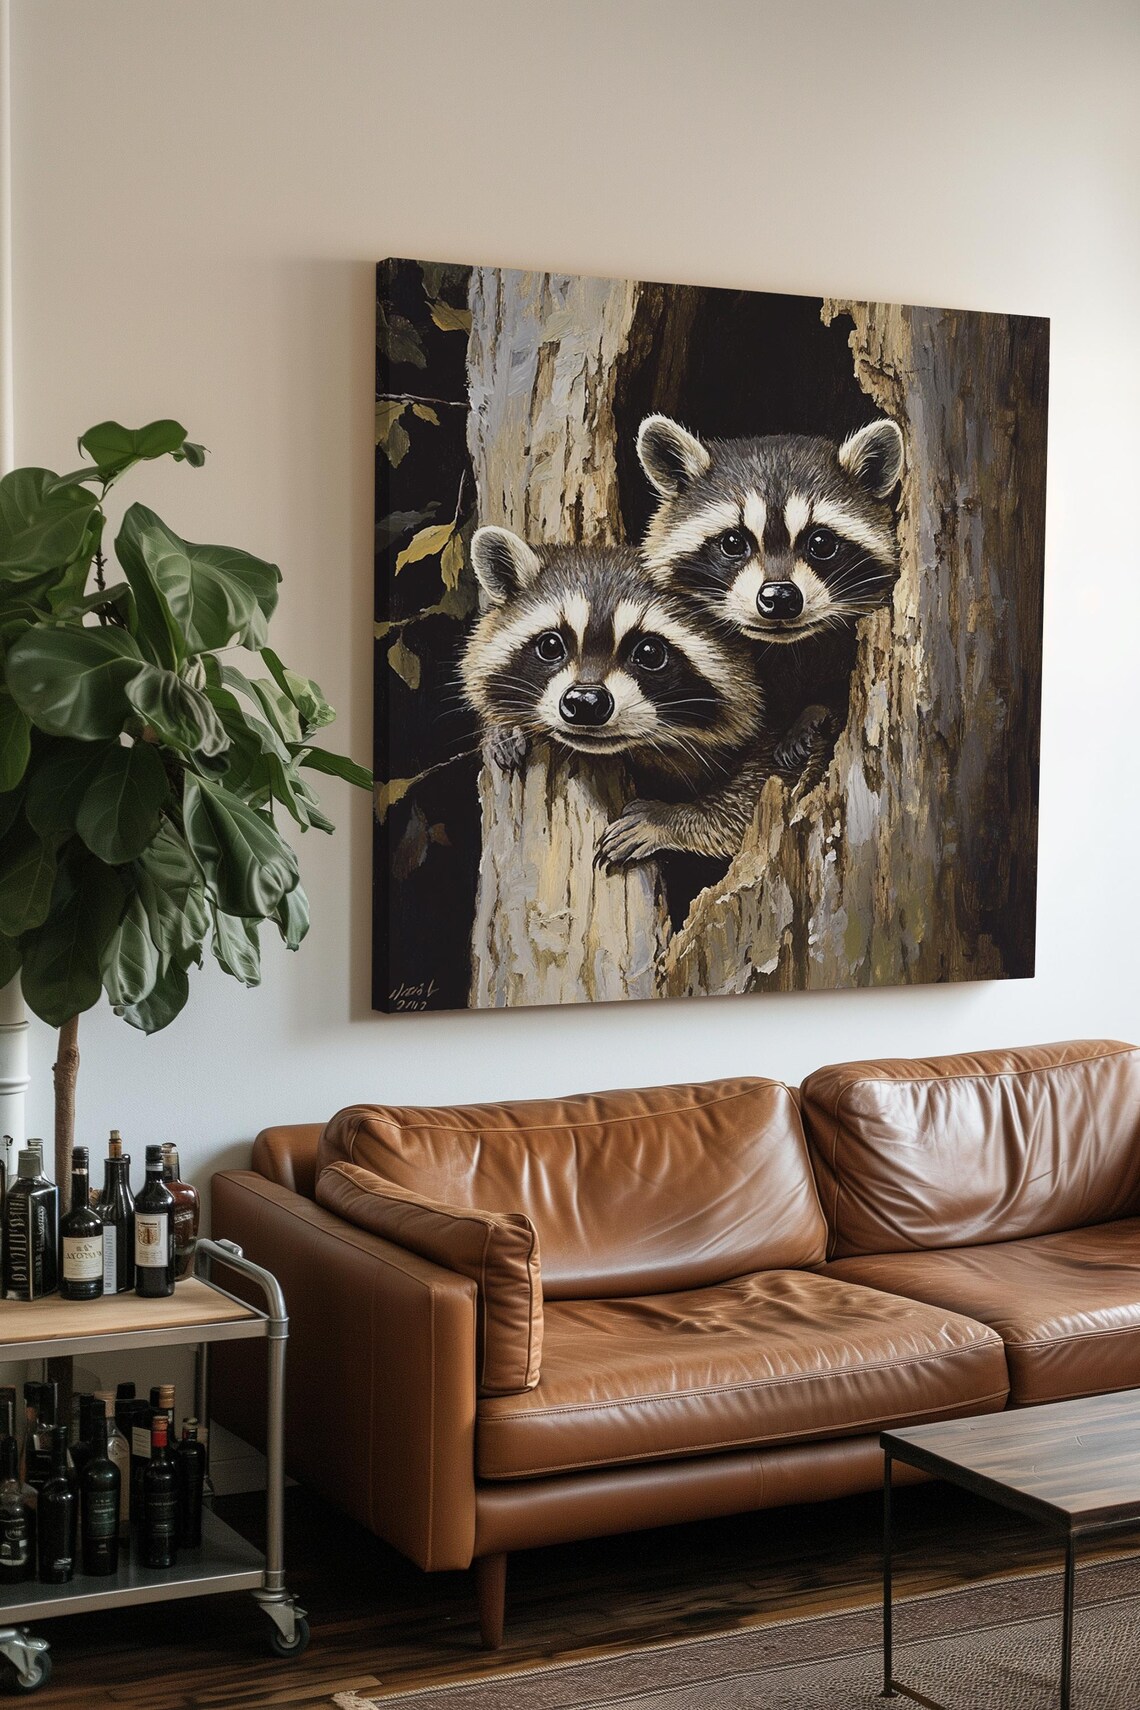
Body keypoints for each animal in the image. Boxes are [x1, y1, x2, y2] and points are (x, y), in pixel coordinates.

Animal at [461, 527, 771, 864]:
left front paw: (670, 819)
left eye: (649, 653)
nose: (585, 702)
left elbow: (753, 794)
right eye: (551, 646)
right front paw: (502, 724)